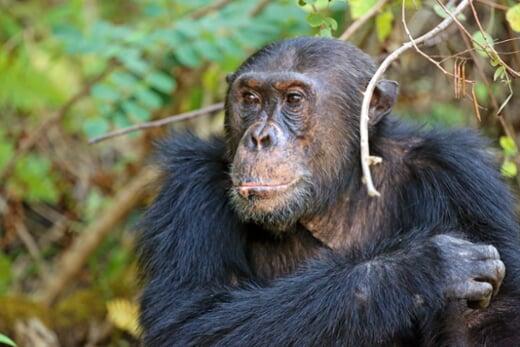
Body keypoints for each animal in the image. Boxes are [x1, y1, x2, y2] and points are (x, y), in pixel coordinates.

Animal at [136, 36, 520, 346]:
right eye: (250, 98)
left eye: (293, 99)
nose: (260, 137)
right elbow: (187, 321)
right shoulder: (190, 187)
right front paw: (423, 267)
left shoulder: (461, 178)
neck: (334, 201)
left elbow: (491, 325)